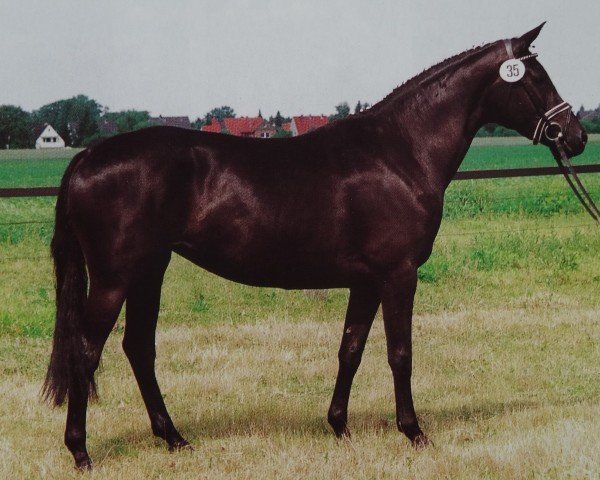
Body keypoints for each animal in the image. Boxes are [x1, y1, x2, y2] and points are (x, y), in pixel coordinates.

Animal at [43, 24, 584, 470]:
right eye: (536, 77)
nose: (575, 136)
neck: (400, 152)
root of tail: (88, 155)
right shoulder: (399, 274)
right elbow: (400, 352)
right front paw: (414, 433)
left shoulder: (367, 281)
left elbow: (351, 348)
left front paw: (340, 427)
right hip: (113, 278)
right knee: (86, 352)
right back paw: (81, 453)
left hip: (149, 271)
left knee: (138, 347)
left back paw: (174, 439)